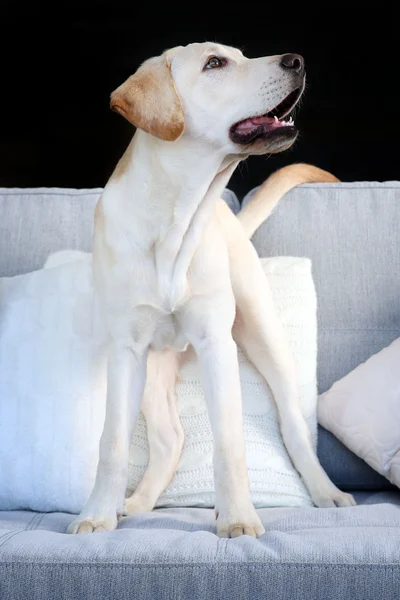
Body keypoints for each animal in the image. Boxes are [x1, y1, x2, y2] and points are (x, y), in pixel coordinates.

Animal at [67, 42, 354, 540]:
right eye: (214, 64)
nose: (297, 60)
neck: (178, 220)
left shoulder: (216, 343)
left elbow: (229, 442)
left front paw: (237, 517)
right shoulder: (126, 350)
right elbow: (113, 442)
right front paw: (97, 515)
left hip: (264, 334)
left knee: (294, 426)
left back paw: (326, 492)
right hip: (152, 371)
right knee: (170, 440)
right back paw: (135, 503)